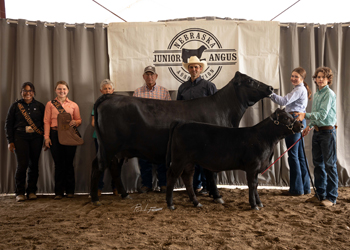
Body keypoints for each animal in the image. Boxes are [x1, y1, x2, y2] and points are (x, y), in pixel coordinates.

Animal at [90, 71, 274, 204]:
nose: (271, 88)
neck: (224, 110)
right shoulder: (214, 149)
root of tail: (111, 96)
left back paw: (124, 194)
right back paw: (95, 198)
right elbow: (211, 174)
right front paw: (217, 196)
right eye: (250, 81)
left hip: (119, 151)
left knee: (114, 168)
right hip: (109, 146)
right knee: (98, 166)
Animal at [165, 108, 302, 210]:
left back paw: (196, 202)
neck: (264, 138)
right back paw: (170, 204)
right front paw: (254, 205)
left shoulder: (256, 169)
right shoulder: (252, 167)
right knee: (172, 177)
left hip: (189, 162)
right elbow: (252, 185)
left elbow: (256, 185)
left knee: (187, 178)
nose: (300, 125)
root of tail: (181, 122)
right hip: (179, 160)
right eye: (286, 118)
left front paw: (259, 203)